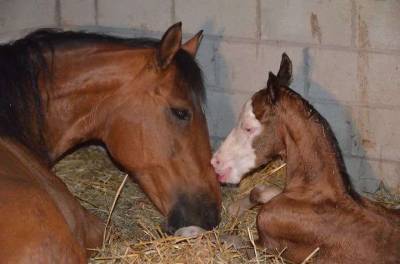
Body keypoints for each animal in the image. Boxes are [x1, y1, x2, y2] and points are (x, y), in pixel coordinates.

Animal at [212, 54, 400, 264]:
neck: (314, 195)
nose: (216, 162)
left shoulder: (266, 248)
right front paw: (234, 208)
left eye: (248, 127)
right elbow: (259, 190)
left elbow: (228, 240)